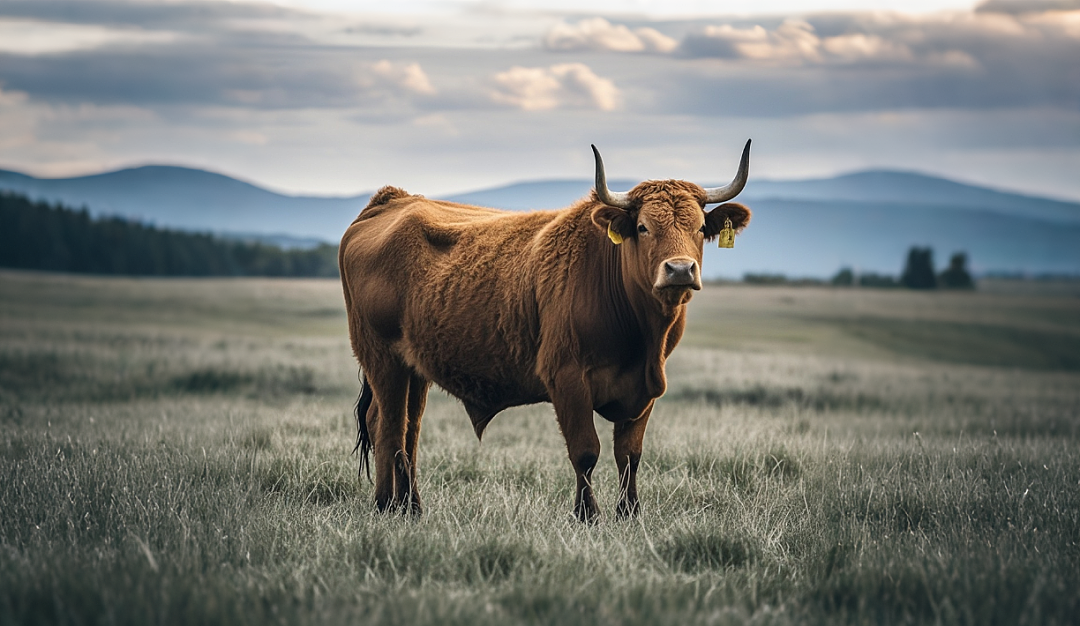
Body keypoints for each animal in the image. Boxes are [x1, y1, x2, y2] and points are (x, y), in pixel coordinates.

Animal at [336, 140, 751, 518]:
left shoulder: (644, 390)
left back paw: (412, 507)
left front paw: (629, 513)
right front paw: (587, 515)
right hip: (382, 360)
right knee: (387, 426)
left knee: (408, 430)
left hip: (414, 369)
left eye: (700, 226)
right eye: (644, 227)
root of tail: (391, 201)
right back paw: (386, 505)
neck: (639, 333)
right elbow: (585, 451)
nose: (680, 270)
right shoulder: (567, 379)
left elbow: (629, 455)